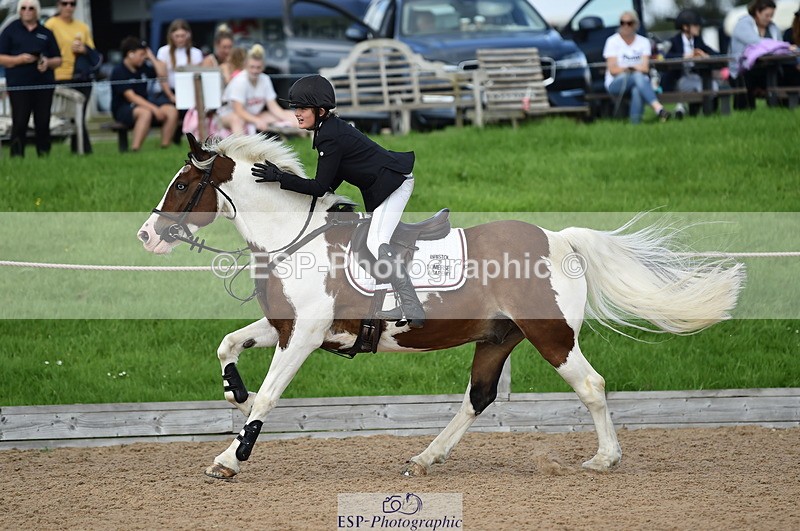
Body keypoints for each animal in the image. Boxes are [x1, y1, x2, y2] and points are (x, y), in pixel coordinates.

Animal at [137, 133, 745, 480]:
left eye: (184, 185)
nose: (146, 235)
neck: (294, 237)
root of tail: (558, 239)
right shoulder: (287, 326)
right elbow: (228, 346)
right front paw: (233, 395)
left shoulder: (305, 335)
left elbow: (269, 395)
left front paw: (229, 459)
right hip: (497, 337)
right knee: (478, 398)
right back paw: (427, 458)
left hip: (550, 335)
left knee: (591, 386)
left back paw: (604, 459)